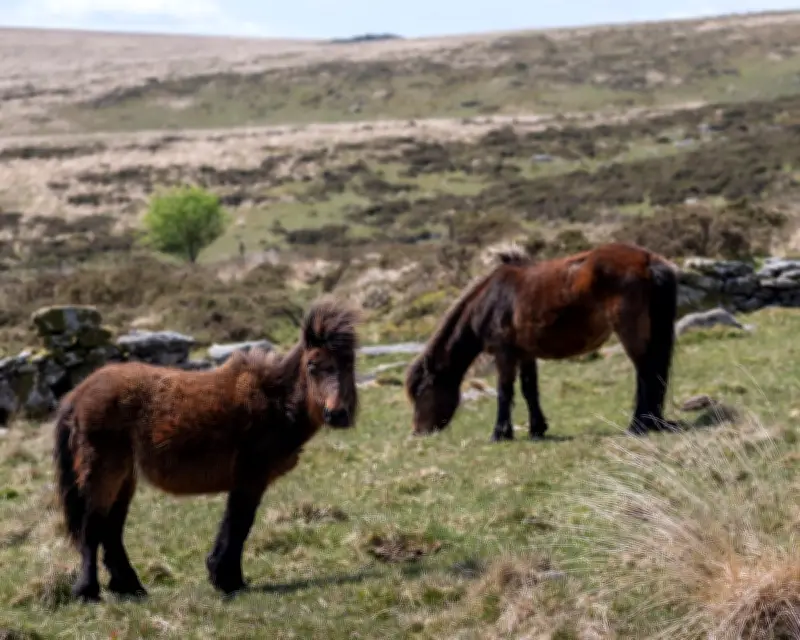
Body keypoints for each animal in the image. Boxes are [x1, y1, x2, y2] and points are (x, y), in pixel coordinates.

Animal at [53, 296, 360, 602]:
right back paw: (88, 592)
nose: (337, 414)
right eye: (312, 366)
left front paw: (225, 577)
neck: (276, 401)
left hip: (124, 476)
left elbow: (237, 523)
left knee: (111, 529)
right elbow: (239, 522)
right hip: (104, 471)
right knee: (92, 527)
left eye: (349, 365)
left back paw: (130, 587)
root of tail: (78, 394)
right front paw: (227, 580)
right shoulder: (250, 476)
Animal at [405, 242, 679, 442]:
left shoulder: (504, 354)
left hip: (629, 331)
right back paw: (653, 421)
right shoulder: (525, 353)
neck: (490, 300)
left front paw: (500, 433)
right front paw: (537, 429)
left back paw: (638, 425)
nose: (418, 432)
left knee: (645, 372)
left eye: (421, 392)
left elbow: (505, 391)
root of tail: (648, 260)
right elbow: (530, 390)